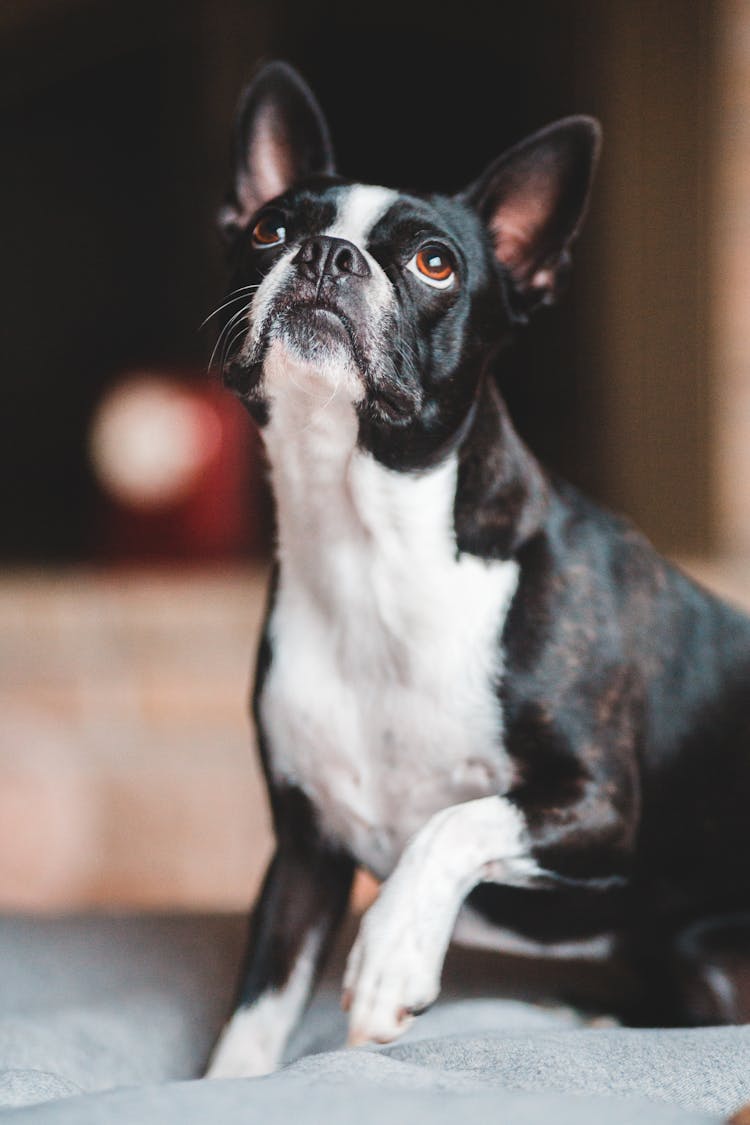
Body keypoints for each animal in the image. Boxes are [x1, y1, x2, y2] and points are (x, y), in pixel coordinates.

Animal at [203, 61, 750, 1080]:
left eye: (434, 263)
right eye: (269, 230)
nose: (327, 256)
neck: (367, 543)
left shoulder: (595, 804)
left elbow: (453, 821)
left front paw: (392, 952)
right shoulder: (302, 855)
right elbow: (253, 1019)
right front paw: (225, 1084)